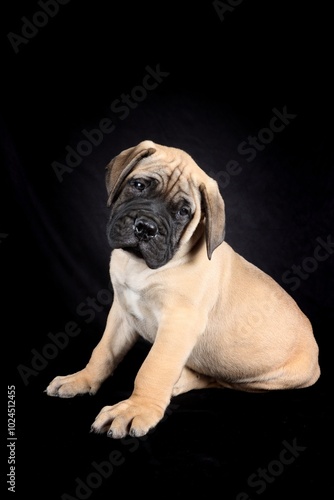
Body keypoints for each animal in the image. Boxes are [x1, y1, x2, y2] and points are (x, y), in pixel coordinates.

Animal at [45, 140, 320, 438]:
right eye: (139, 185)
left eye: (183, 212)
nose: (146, 228)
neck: (140, 265)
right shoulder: (121, 312)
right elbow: (104, 351)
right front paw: (82, 379)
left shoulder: (178, 324)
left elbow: (153, 367)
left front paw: (136, 408)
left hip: (267, 379)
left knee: (219, 381)